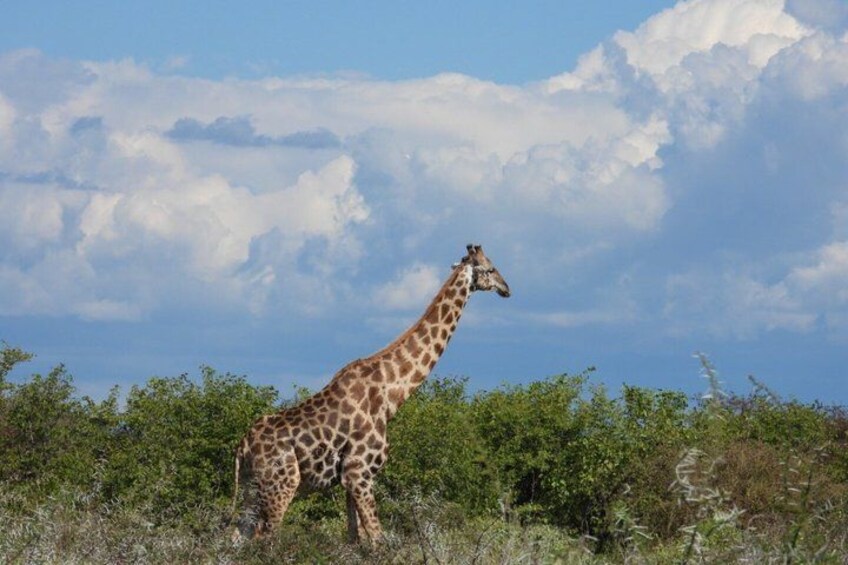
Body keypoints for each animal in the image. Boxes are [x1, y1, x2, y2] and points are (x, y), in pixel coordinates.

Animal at [231, 244, 510, 544]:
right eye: (491, 268)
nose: (507, 288)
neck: (391, 393)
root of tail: (243, 446)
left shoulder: (350, 478)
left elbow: (355, 538)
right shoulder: (360, 471)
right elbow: (378, 539)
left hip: (251, 488)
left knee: (237, 536)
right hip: (281, 484)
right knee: (266, 537)